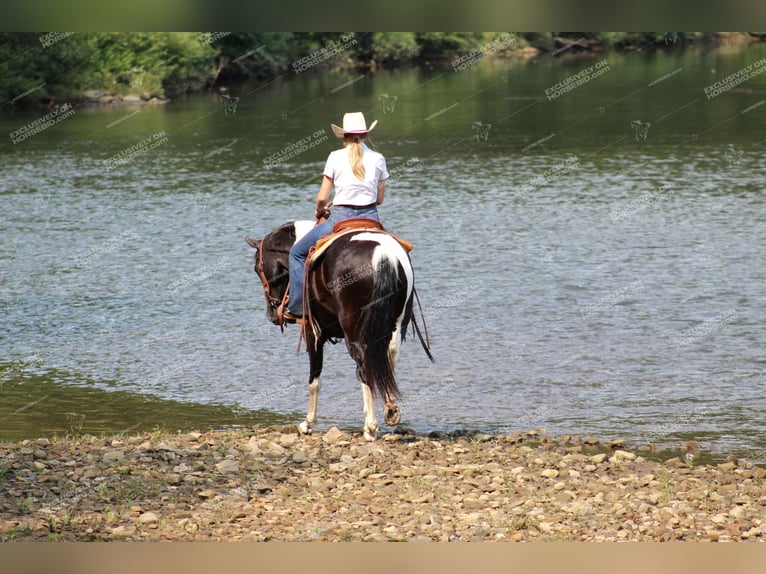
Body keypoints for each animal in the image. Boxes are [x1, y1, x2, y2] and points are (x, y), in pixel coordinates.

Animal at [248, 220, 432, 440]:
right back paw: (390, 410)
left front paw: (308, 423)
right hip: (394, 325)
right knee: (386, 358)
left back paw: (370, 427)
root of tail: (383, 255)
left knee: (365, 365)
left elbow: (314, 380)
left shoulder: (312, 331)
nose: (273, 315)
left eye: (257, 268)